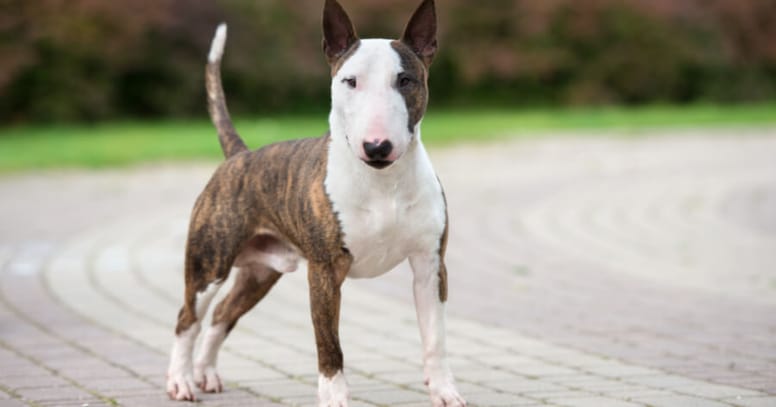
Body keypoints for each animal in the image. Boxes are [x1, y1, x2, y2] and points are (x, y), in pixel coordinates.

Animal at [166, 1, 464, 406]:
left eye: (405, 80)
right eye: (350, 81)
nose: (377, 147)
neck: (382, 182)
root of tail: (240, 155)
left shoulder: (430, 265)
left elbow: (435, 338)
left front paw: (445, 391)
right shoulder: (324, 271)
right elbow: (329, 345)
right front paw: (335, 397)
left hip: (260, 272)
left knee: (222, 314)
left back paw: (206, 374)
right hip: (208, 263)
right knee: (188, 319)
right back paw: (181, 381)